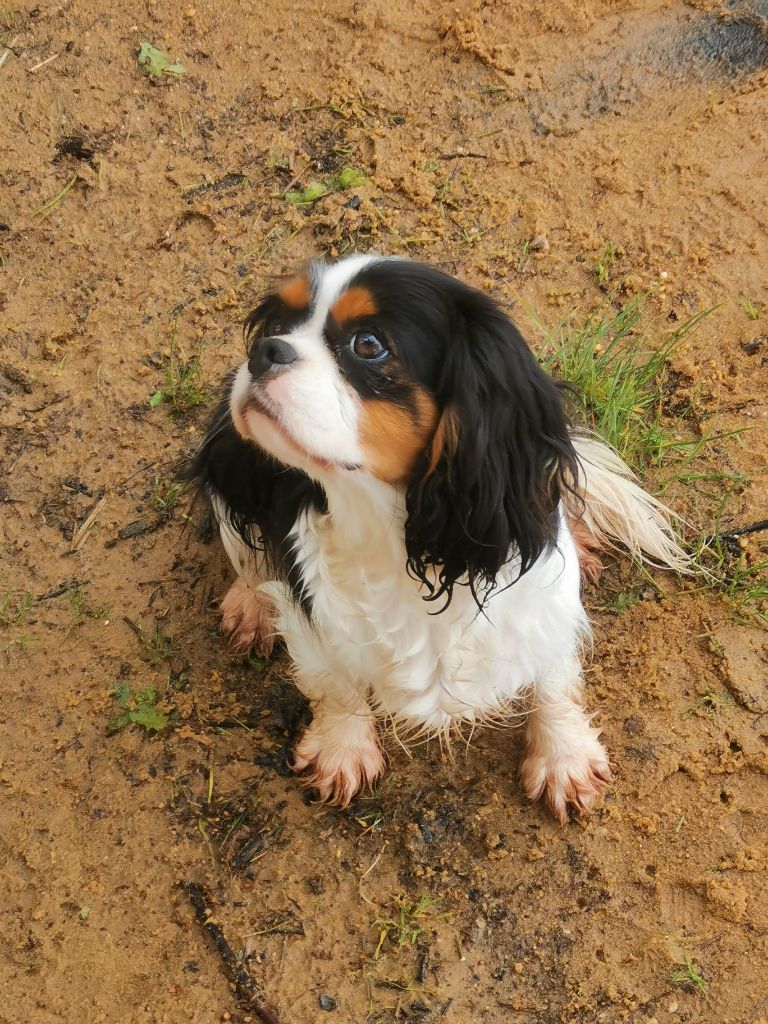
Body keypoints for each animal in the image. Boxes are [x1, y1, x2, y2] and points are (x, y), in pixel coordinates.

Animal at [188, 256, 692, 823]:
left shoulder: (542, 602)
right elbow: (334, 680)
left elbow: (553, 676)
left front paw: (563, 755)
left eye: (368, 344)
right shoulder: (310, 609)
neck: (397, 534)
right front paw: (343, 747)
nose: (264, 350)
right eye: (277, 325)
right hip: (230, 455)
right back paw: (250, 603)